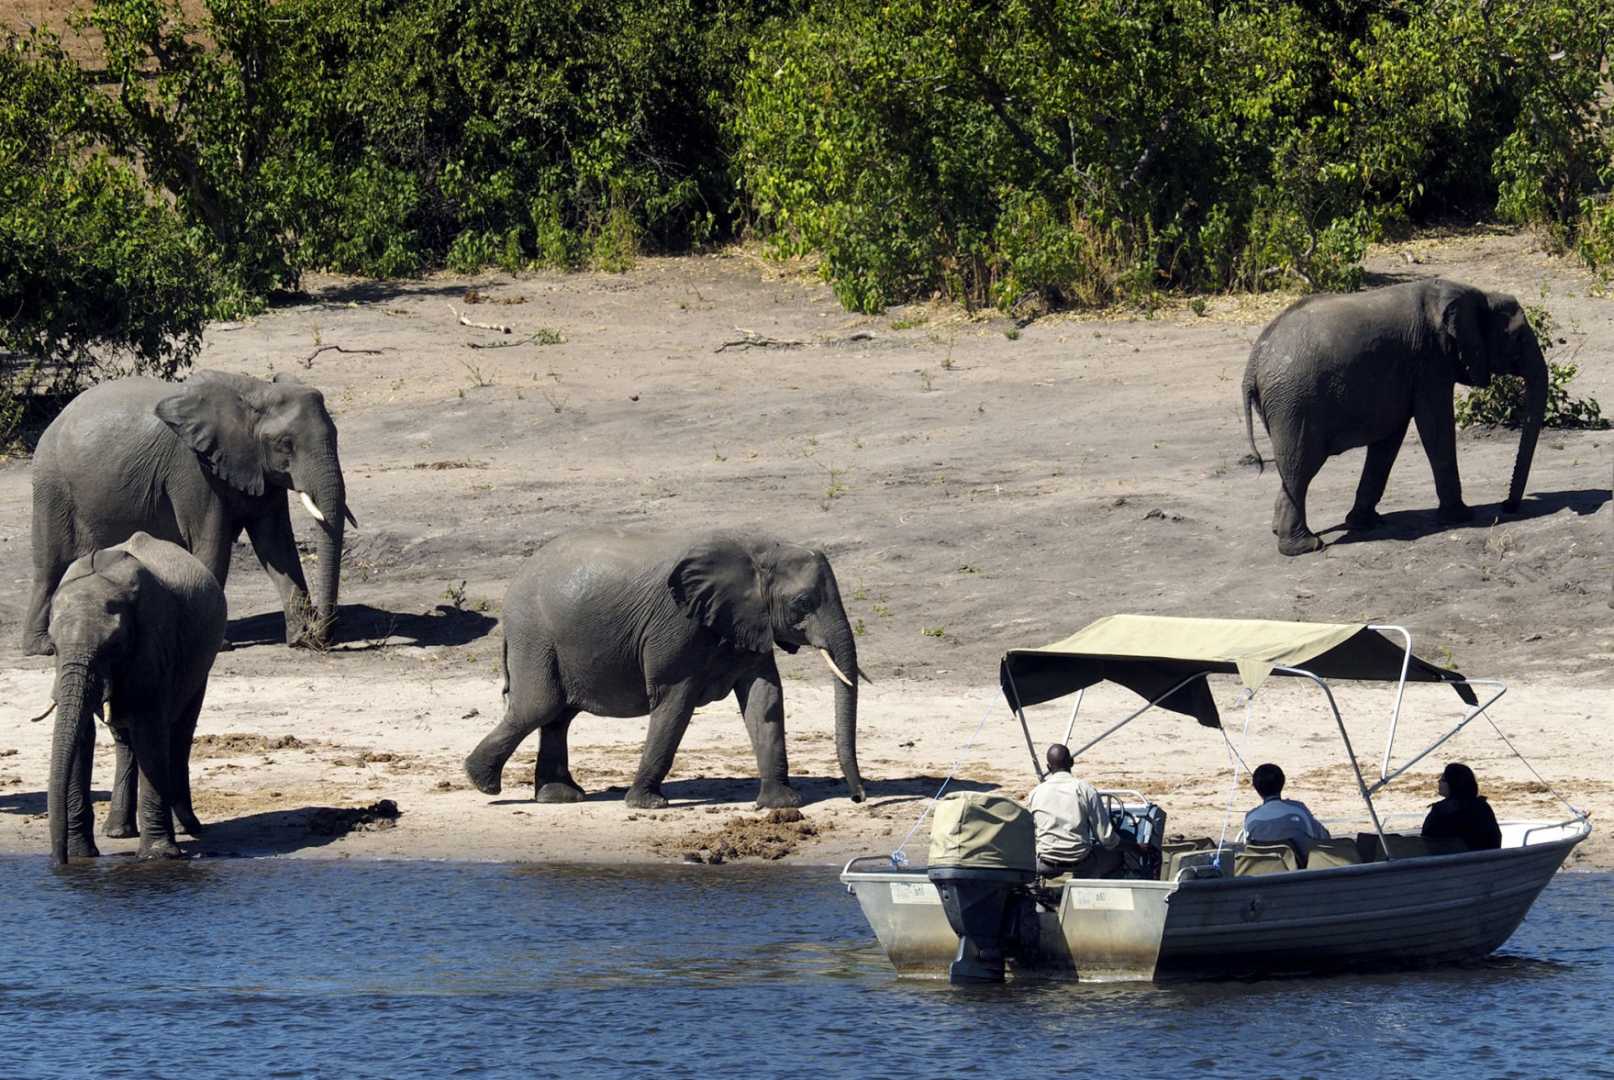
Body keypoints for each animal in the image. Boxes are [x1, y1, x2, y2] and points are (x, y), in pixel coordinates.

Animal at [25, 366, 355, 652]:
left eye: (337, 436)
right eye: (285, 444)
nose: (320, 639)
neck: (254, 393)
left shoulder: (261, 471)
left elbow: (276, 546)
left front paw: (300, 638)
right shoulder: (192, 468)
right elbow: (212, 544)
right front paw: (218, 644)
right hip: (52, 487)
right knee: (50, 566)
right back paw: (43, 647)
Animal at [44, 526, 227, 865]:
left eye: (113, 645)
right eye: (53, 645)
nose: (57, 862)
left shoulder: (154, 639)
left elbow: (149, 730)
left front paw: (159, 856)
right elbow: (82, 734)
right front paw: (81, 856)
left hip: (203, 657)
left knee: (179, 732)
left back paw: (186, 827)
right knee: (124, 737)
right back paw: (118, 832)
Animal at [468, 526, 871, 813]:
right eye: (802, 602)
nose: (859, 797)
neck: (755, 549)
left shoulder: (747, 622)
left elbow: (765, 699)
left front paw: (782, 804)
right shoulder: (676, 625)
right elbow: (674, 703)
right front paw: (647, 805)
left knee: (557, 716)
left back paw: (560, 797)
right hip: (535, 637)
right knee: (538, 707)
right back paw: (483, 783)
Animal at [1239, 276, 1542, 555]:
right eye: (1517, 337)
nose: (1507, 505)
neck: (1476, 294)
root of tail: (1253, 363)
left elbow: (1389, 440)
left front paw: (1365, 523)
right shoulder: (1430, 359)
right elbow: (1435, 425)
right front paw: (1461, 516)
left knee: (1291, 466)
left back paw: (1280, 531)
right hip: (1295, 403)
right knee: (1300, 464)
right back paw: (1305, 546)